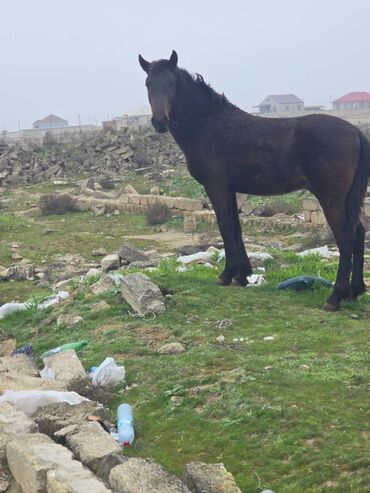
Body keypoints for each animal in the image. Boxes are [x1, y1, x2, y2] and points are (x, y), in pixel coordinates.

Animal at [139, 51, 370, 312]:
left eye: (171, 83)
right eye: (148, 83)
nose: (160, 121)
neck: (210, 125)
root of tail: (356, 132)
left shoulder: (216, 187)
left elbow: (225, 226)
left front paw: (226, 275)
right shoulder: (230, 189)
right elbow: (235, 227)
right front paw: (242, 275)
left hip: (331, 197)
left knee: (345, 237)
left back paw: (335, 297)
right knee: (359, 232)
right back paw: (355, 290)